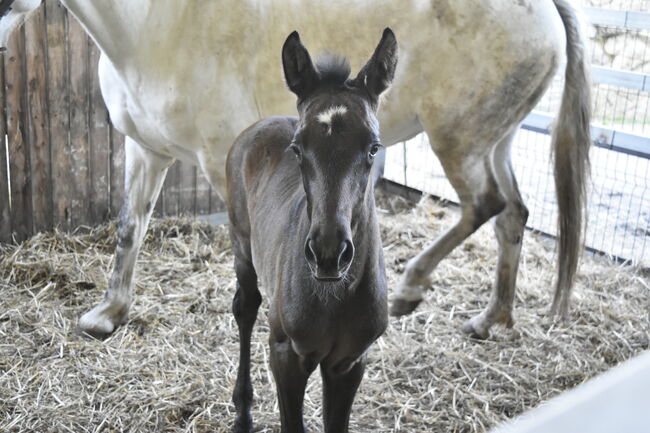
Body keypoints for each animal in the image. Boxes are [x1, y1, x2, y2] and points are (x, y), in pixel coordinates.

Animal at [225, 30, 392, 432]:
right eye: (298, 149)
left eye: (373, 148)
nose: (329, 255)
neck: (334, 296)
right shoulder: (287, 355)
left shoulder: (348, 362)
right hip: (241, 246)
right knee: (246, 307)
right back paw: (243, 412)